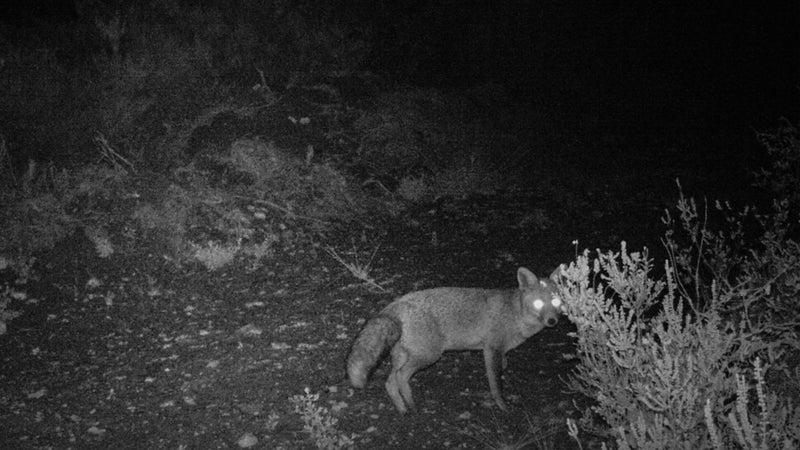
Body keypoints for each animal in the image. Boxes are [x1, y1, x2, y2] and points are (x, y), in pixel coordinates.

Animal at [346, 264, 564, 414]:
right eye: (538, 303)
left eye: (556, 302)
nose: (552, 321)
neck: (515, 314)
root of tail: (396, 303)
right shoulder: (491, 349)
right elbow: (496, 384)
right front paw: (502, 406)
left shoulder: (496, 350)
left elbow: (504, 364)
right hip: (429, 356)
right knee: (400, 377)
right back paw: (412, 405)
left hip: (404, 356)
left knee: (390, 382)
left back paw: (404, 410)